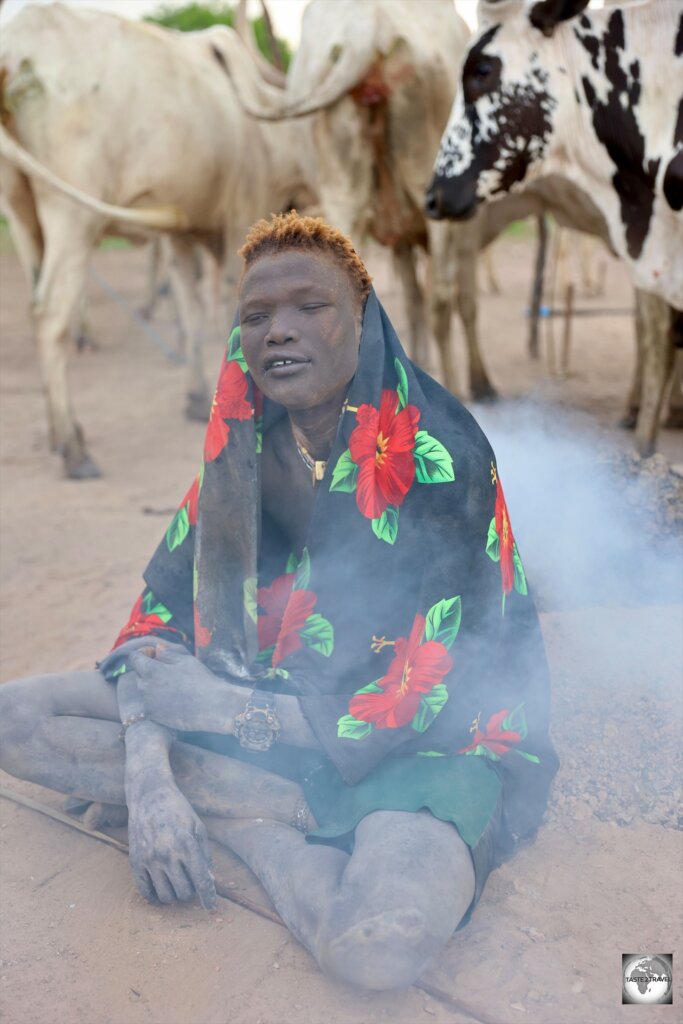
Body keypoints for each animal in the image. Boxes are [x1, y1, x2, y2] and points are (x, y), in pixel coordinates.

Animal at [0, 4, 305, 477]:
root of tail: (15, 47)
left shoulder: (179, 233)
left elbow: (191, 308)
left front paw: (198, 397)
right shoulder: (242, 215)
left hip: (22, 212)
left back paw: (56, 433)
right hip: (73, 214)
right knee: (49, 313)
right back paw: (73, 448)